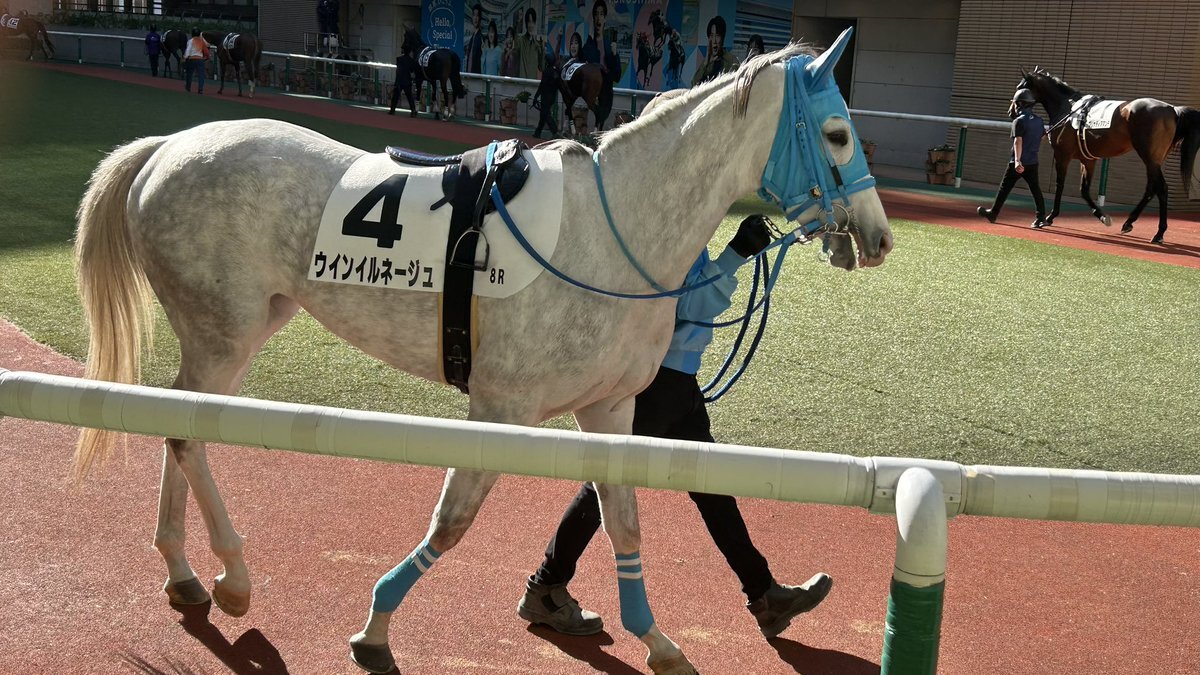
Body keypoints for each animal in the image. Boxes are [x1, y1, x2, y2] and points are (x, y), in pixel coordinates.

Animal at [72, 31, 891, 675]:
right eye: (838, 133)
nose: (879, 236)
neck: (611, 231)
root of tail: (166, 148)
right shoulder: (501, 406)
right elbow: (455, 518)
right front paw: (375, 627)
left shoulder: (612, 406)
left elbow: (623, 521)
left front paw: (659, 641)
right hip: (222, 334)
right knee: (187, 435)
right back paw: (234, 576)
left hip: (239, 330)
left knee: (177, 428)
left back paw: (185, 572)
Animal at [1016, 67, 1200, 244]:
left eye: (1021, 87)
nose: (1014, 111)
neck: (1069, 109)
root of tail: (1172, 109)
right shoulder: (1088, 160)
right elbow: (1084, 190)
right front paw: (1103, 216)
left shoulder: (1062, 155)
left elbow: (1059, 185)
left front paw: (1050, 217)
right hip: (1154, 160)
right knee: (1151, 188)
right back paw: (1129, 222)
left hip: (1149, 157)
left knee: (1161, 188)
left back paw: (1159, 233)